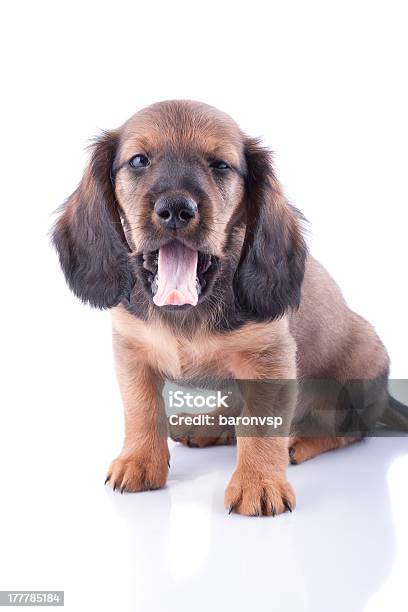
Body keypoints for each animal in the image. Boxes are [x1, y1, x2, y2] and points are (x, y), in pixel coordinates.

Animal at [54, 100, 396, 516]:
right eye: (138, 160)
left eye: (220, 164)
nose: (176, 209)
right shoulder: (132, 350)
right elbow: (141, 409)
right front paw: (140, 461)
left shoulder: (269, 359)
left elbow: (260, 424)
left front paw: (259, 483)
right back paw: (206, 427)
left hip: (354, 378)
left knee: (347, 431)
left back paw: (298, 440)